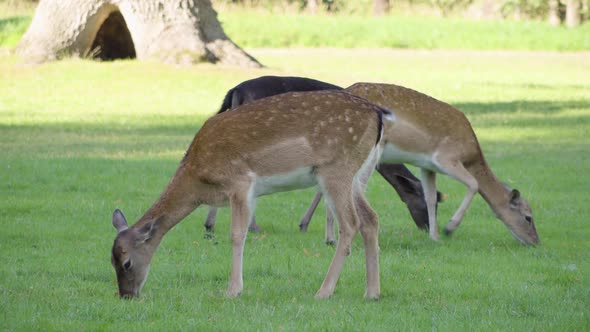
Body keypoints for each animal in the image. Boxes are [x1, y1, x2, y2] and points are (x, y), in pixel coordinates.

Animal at [110, 89, 394, 300]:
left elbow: (237, 234)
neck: (198, 180)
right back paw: (372, 292)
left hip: (336, 169)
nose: (126, 295)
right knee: (371, 218)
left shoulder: (240, 182)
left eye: (127, 263)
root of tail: (378, 114)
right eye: (110, 261)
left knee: (351, 223)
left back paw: (323, 291)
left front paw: (233, 290)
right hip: (359, 174)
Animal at [344, 82, 544, 245]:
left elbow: (431, 197)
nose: (535, 242)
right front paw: (449, 228)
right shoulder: (445, 158)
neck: (471, 155)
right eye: (528, 217)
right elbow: (474, 184)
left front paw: (435, 237)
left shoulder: (426, 166)